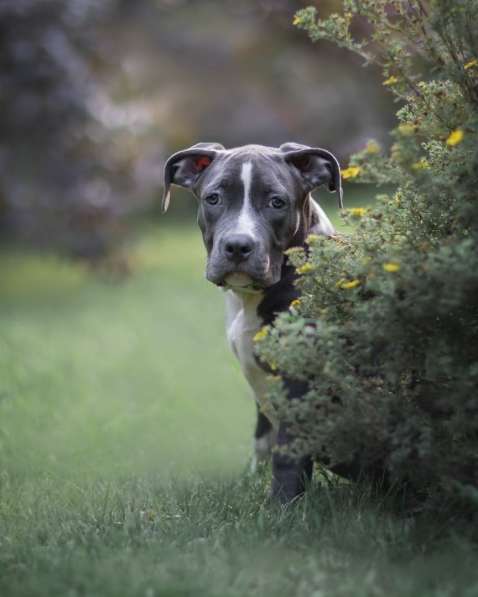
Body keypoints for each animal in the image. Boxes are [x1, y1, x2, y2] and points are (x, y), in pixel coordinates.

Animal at [162, 142, 342, 500]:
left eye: (277, 202)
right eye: (213, 198)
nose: (237, 246)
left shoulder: (299, 381)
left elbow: (288, 453)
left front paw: (282, 506)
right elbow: (263, 438)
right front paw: (251, 481)